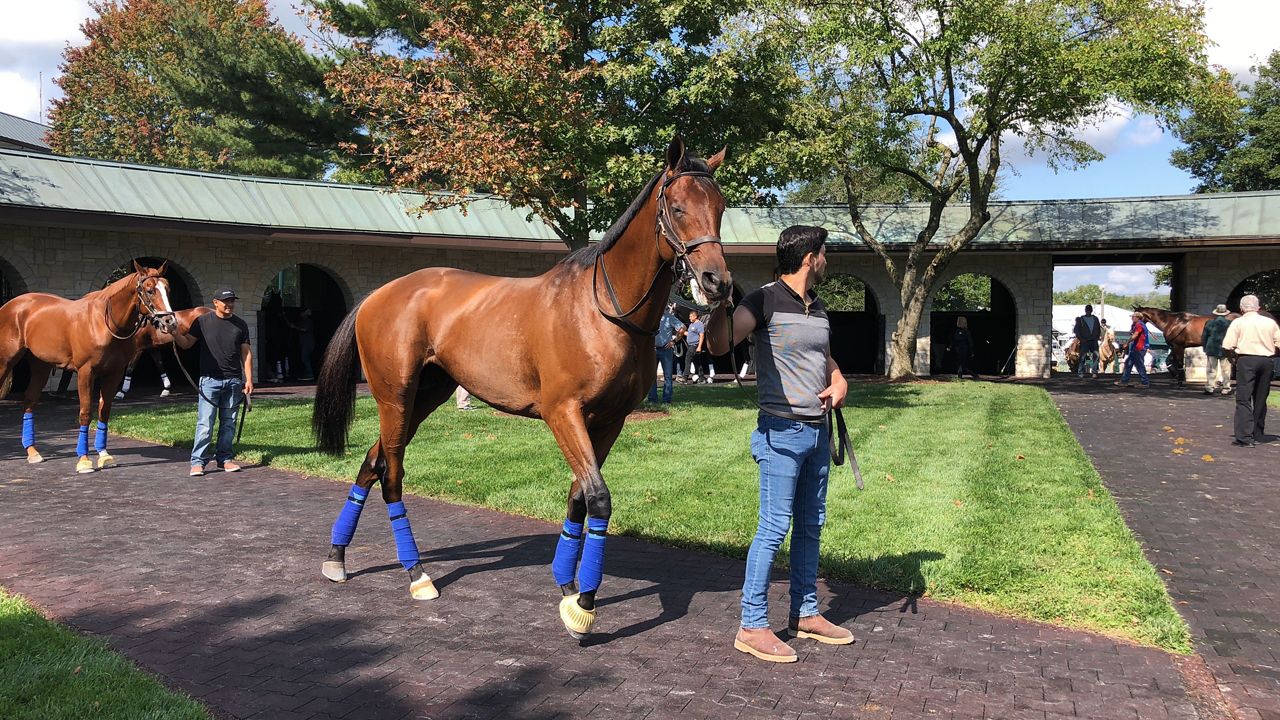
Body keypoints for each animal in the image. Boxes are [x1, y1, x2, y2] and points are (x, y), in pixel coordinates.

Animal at [0, 262, 180, 471]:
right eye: (150, 290)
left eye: (167, 288)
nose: (170, 322)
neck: (103, 323)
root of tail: (9, 306)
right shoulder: (86, 372)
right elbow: (85, 413)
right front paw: (84, 460)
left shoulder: (114, 373)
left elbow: (104, 411)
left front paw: (104, 455)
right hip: (5, 361)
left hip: (40, 366)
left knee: (29, 400)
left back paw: (32, 452)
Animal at [309, 137, 732, 635]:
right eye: (678, 207)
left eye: (720, 207)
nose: (717, 282)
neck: (601, 310)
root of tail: (378, 294)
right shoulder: (562, 412)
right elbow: (598, 498)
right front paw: (584, 605)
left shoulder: (609, 420)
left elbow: (578, 497)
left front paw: (567, 584)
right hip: (394, 397)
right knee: (390, 475)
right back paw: (417, 574)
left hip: (424, 397)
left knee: (370, 464)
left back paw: (337, 557)